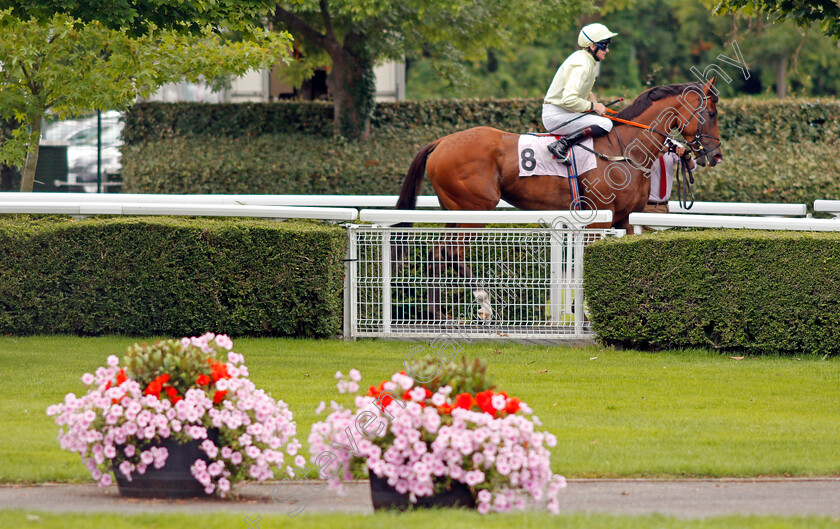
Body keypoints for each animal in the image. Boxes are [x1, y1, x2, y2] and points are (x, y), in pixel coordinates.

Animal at [394, 77, 720, 320]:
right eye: (712, 113)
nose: (715, 155)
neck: (623, 150)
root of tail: (441, 142)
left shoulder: (625, 220)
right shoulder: (597, 222)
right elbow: (584, 265)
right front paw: (584, 314)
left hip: (455, 211)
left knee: (437, 252)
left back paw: (438, 312)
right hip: (475, 211)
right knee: (451, 252)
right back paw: (483, 303)